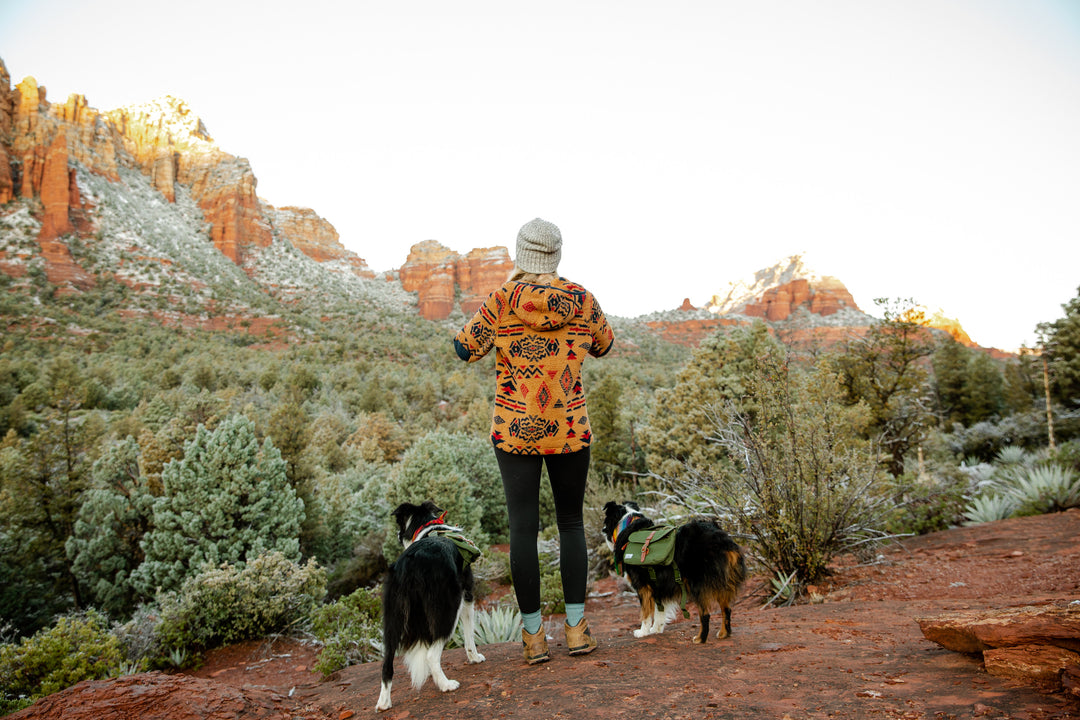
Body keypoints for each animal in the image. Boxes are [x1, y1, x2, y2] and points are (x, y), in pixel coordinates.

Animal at [375, 505, 486, 712]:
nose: (397, 535)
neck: (428, 529)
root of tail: (411, 563)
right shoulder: (467, 597)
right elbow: (469, 636)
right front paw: (474, 658)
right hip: (448, 607)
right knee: (431, 655)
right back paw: (446, 685)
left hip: (393, 616)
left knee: (387, 663)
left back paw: (384, 702)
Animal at [604, 498, 747, 643]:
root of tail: (722, 539)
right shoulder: (659, 586)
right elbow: (659, 611)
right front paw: (656, 629)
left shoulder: (643, 586)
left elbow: (645, 612)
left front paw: (642, 632)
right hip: (722, 581)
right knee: (726, 609)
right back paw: (724, 633)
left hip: (698, 584)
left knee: (705, 613)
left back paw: (700, 638)